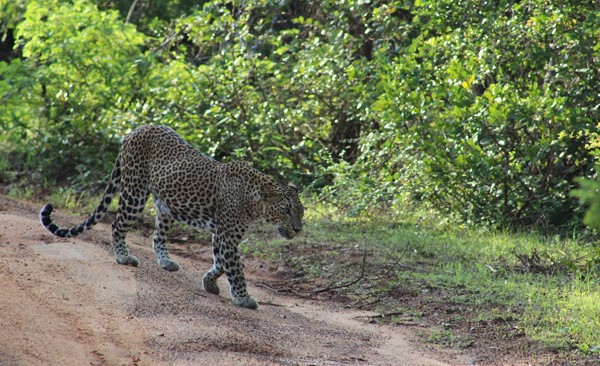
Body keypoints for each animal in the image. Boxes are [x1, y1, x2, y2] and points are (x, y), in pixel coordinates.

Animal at [40, 125, 304, 308]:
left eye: (301, 212)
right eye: (286, 210)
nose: (299, 230)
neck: (254, 202)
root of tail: (135, 130)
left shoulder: (221, 234)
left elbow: (220, 263)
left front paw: (209, 283)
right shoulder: (227, 236)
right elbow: (235, 269)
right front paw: (243, 299)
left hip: (166, 207)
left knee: (157, 236)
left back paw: (166, 262)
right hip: (134, 194)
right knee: (116, 225)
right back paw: (124, 257)